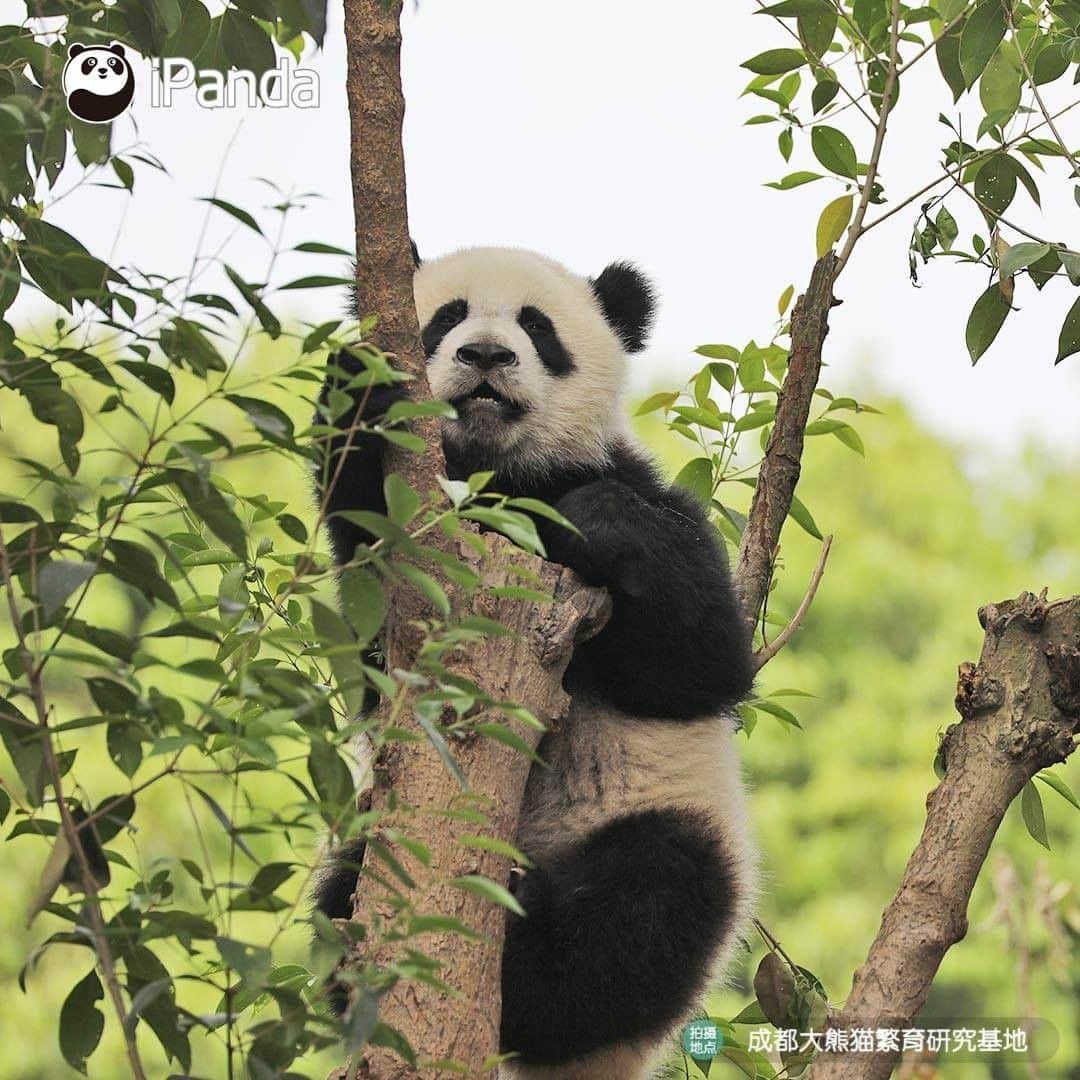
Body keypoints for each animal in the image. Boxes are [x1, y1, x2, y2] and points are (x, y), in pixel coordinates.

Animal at [313, 247, 756, 1080]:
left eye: (538, 328)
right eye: (446, 317)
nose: (487, 356)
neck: (500, 477)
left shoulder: (638, 487)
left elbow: (705, 664)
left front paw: (594, 521)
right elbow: (373, 653)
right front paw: (362, 387)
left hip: (676, 828)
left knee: (642, 908)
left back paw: (524, 942)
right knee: (341, 900)